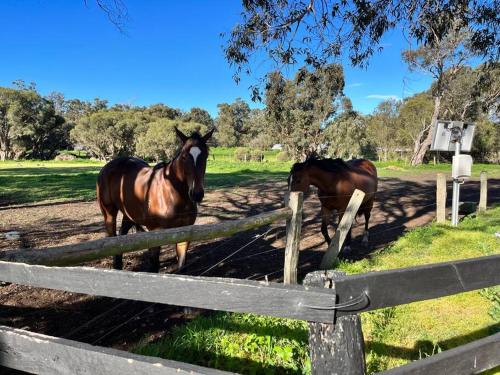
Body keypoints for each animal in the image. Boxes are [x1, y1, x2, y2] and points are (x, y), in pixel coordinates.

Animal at [96, 128, 214, 272]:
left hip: (129, 215)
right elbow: (154, 266)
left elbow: (181, 266)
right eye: (184, 157)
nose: (196, 194)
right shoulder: (155, 233)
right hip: (109, 214)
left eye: (206, 156)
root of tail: (107, 167)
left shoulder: (184, 233)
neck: (173, 192)